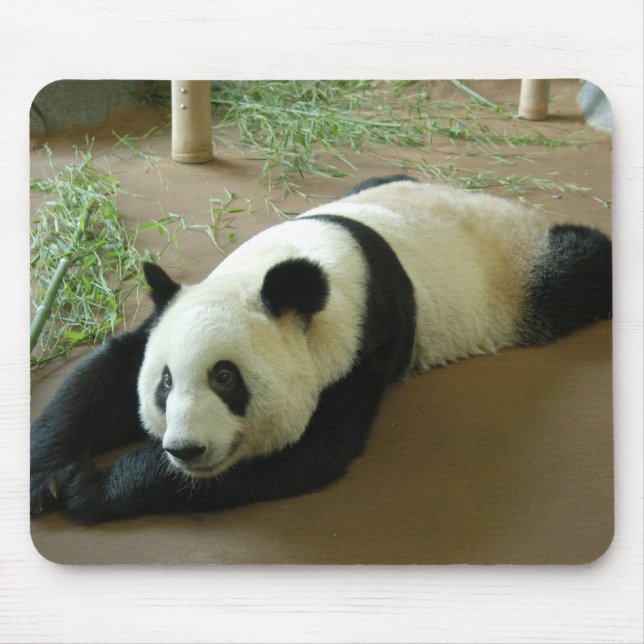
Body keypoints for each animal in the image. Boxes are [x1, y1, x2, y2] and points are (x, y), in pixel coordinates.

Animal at [30, 175, 612, 524]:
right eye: (165, 382)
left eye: (225, 378)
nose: (185, 450)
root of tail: (512, 210)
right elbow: (102, 380)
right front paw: (47, 478)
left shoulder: (359, 345)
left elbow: (310, 450)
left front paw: (90, 487)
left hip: (521, 280)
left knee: (581, 266)